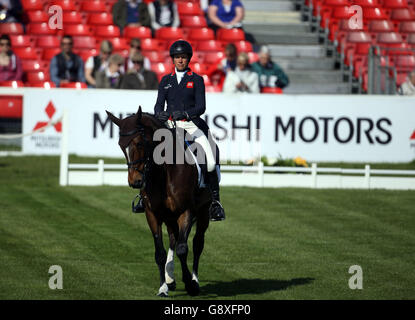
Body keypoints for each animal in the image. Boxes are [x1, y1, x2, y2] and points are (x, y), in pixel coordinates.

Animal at [106, 106, 211, 296]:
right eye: (120, 145)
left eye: (139, 143)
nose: (135, 182)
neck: (164, 170)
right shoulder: (152, 214)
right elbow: (160, 252)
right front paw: (163, 287)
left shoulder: (186, 210)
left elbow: (183, 249)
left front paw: (190, 284)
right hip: (170, 217)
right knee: (173, 239)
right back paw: (170, 279)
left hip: (203, 212)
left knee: (197, 243)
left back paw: (194, 279)